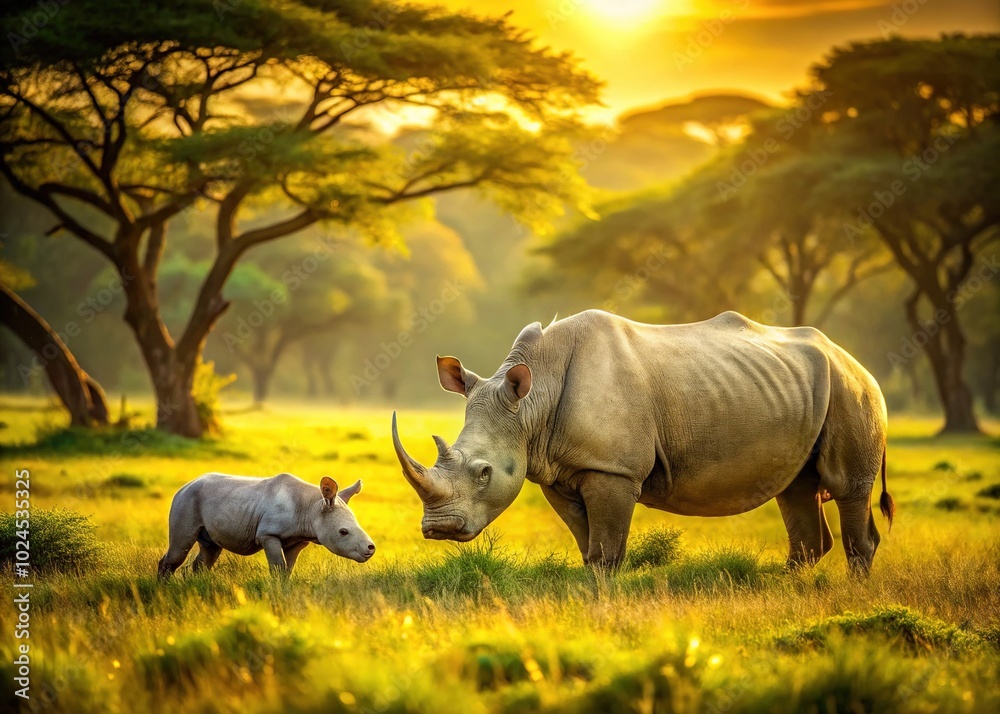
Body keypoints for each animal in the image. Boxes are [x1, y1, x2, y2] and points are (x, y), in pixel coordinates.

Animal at [158, 473, 375, 577]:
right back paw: (164, 589)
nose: (370, 548)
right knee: (180, 547)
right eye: (343, 532)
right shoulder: (268, 534)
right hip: (186, 500)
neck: (312, 508)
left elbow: (288, 569)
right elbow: (278, 566)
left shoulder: (297, 541)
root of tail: (186, 485)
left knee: (210, 549)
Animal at [393, 310, 895, 573]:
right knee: (796, 487)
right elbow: (588, 545)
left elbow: (607, 549)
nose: (437, 529)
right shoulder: (557, 470)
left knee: (847, 487)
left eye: (484, 472)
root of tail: (857, 363)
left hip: (853, 391)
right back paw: (790, 589)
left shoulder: (613, 469)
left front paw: (602, 599)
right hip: (801, 392)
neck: (534, 396)